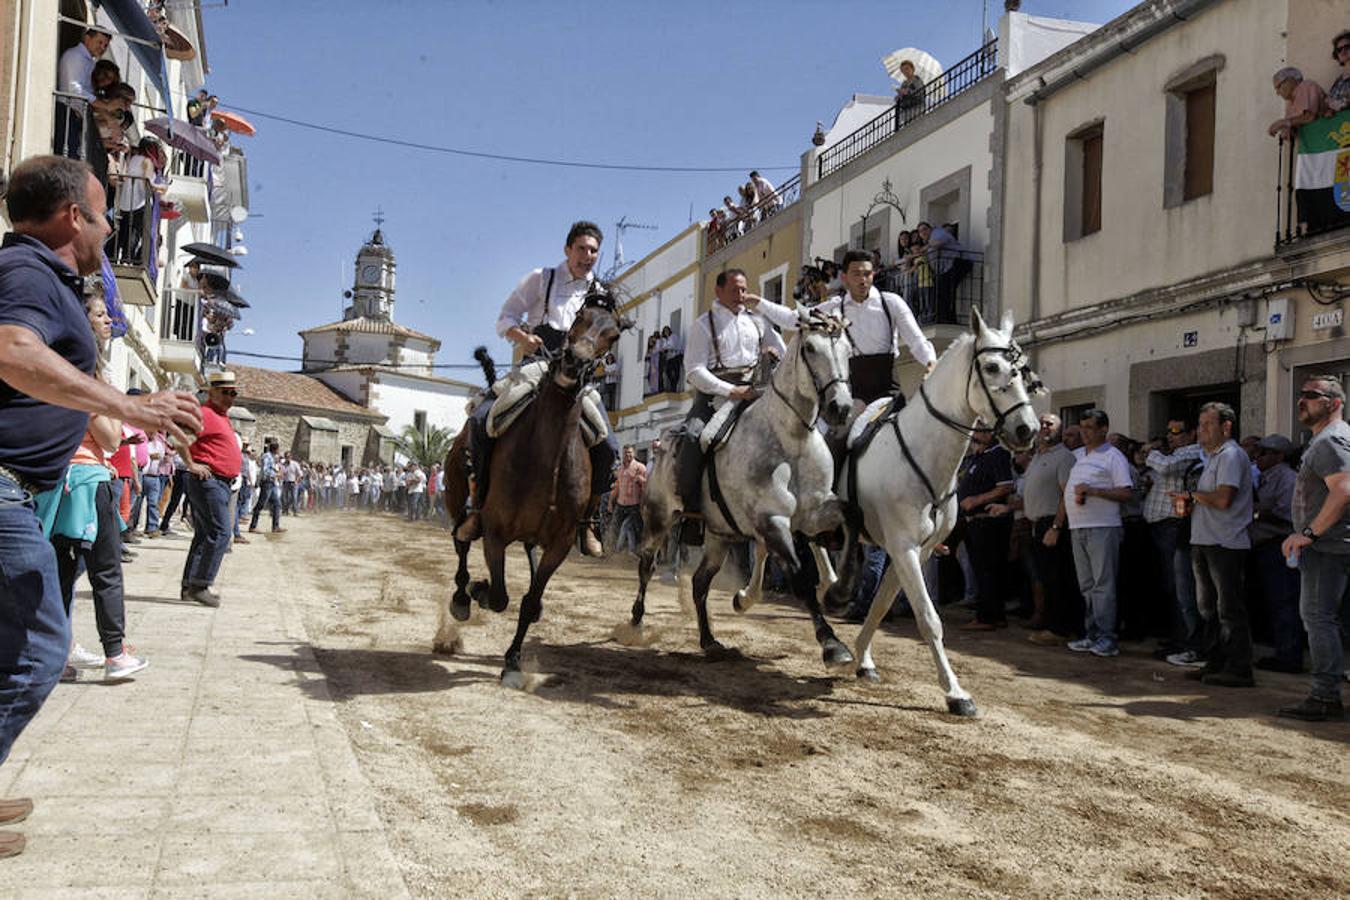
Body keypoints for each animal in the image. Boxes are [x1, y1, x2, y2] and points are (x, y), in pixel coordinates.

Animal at [437, 302, 621, 690]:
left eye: (613, 334)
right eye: (579, 317)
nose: (573, 362)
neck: (547, 457)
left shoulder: (560, 543)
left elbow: (529, 600)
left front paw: (512, 662)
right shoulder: (494, 533)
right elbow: (499, 596)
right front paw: (478, 590)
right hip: (456, 501)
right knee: (461, 542)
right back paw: (462, 596)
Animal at [629, 310, 853, 669]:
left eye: (847, 350)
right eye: (810, 348)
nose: (840, 408)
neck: (790, 441)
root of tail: (662, 450)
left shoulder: (815, 512)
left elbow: (846, 523)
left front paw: (838, 590)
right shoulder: (772, 521)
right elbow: (800, 578)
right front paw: (832, 644)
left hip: (719, 535)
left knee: (700, 582)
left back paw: (709, 640)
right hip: (659, 519)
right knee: (646, 566)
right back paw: (636, 623)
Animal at [831, 310, 1042, 717]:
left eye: (1021, 370)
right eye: (991, 367)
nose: (1027, 429)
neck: (921, 453)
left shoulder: (917, 550)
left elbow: (881, 604)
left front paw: (864, 659)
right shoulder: (904, 548)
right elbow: (929, 618)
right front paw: (956, 693)